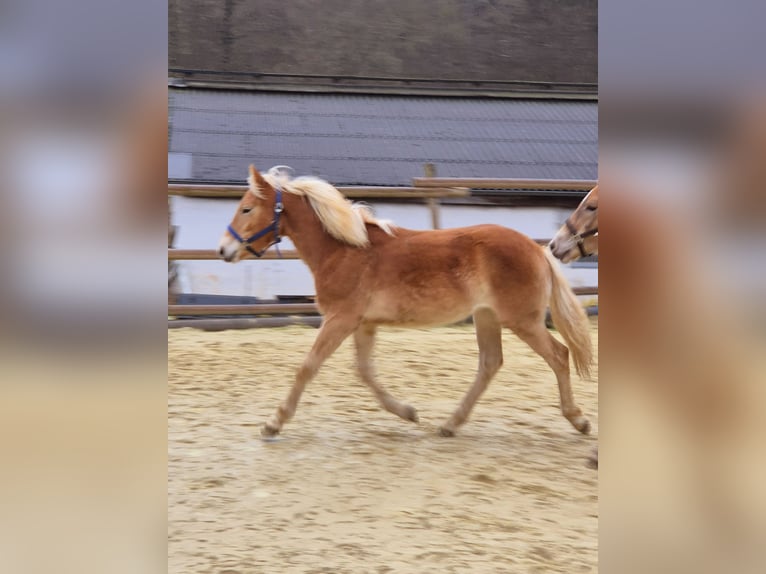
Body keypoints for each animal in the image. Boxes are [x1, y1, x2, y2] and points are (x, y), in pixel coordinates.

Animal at [219, 169, 596, 438]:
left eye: (247, 208)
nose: (224, 249)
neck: (344, 250)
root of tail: (538, 249)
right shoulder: (362, 324)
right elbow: (365, 372)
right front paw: (408, 412)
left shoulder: (340, 319)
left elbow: (307, 367)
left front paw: (274, 422)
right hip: (487, 317)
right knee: (490, 363)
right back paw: (450, 424)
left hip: (523, 320)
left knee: (559, 355)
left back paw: (578, 420)